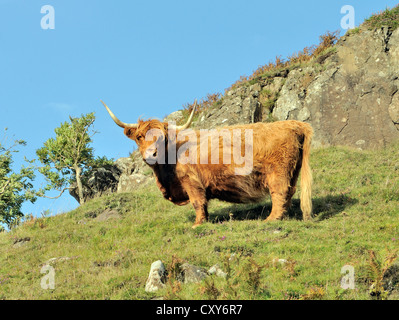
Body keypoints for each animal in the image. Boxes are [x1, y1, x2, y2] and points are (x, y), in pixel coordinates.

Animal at [101, 100, 314, 228]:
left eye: (161, 138)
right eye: (139, 137)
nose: (151, 154)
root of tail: (294, 124)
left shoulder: (191, 182)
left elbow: (198, 202)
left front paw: (198, 224)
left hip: (278, 172)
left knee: (280, 192)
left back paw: (271, 219)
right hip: (292, 171)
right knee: (289, 193)